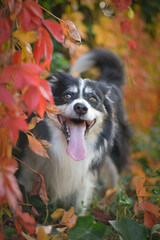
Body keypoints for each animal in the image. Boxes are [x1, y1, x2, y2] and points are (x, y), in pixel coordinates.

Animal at [15, 48, 131, 214]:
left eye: (92, 99)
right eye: (67, 95)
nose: (81, 108)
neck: (65, 150)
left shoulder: (84, 177)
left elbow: (78, 210)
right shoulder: (28, 164)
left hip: (115, 153)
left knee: (115, 180)